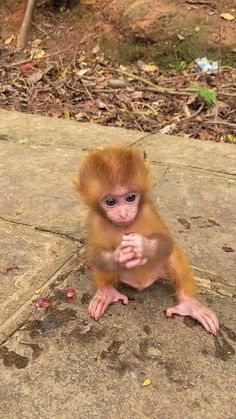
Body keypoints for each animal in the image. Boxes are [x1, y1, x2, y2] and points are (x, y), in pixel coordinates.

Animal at [74, 146, 218, 336]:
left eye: (130, 198)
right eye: (111, 201)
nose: (123, 214)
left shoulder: (148, 211)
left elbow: (166, 243)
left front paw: (142, 247)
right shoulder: (94, 220)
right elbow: (93, 253)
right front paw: (118, 255)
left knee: (171, 254)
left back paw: (190, 305)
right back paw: (106, 292)